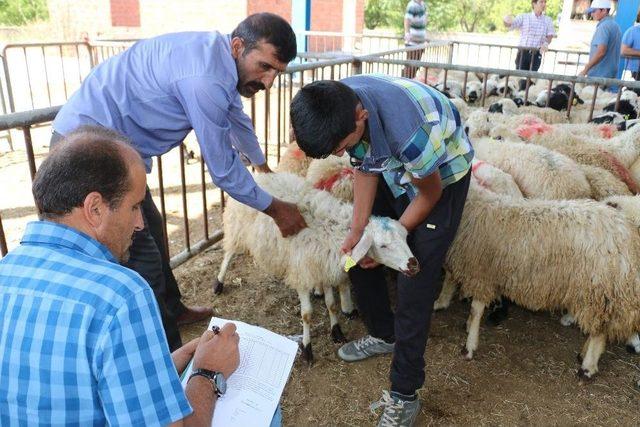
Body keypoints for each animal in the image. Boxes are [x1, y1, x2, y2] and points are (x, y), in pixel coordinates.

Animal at [214, 172, 420, 362]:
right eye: (383, 246)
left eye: (405, 237)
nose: (414, 265)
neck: (330, 230)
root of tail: (259, 176)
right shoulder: (303, 273)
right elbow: (307, 314)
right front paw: (307, 348)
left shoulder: (323, 267)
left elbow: (331, 304)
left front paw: (336, 331)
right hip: (237, 229)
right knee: (228, 255)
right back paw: (219, 283)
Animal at [442, 186, 640, 380]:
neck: (471, 203)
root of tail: (626, 231)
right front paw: (468, 327)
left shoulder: (481, 274)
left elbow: (476, 310)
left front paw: (469, 346)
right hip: (600, 293)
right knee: (599, 328)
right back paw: (584, 355)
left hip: (597, 290)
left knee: (599, 332)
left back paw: (587, 368)